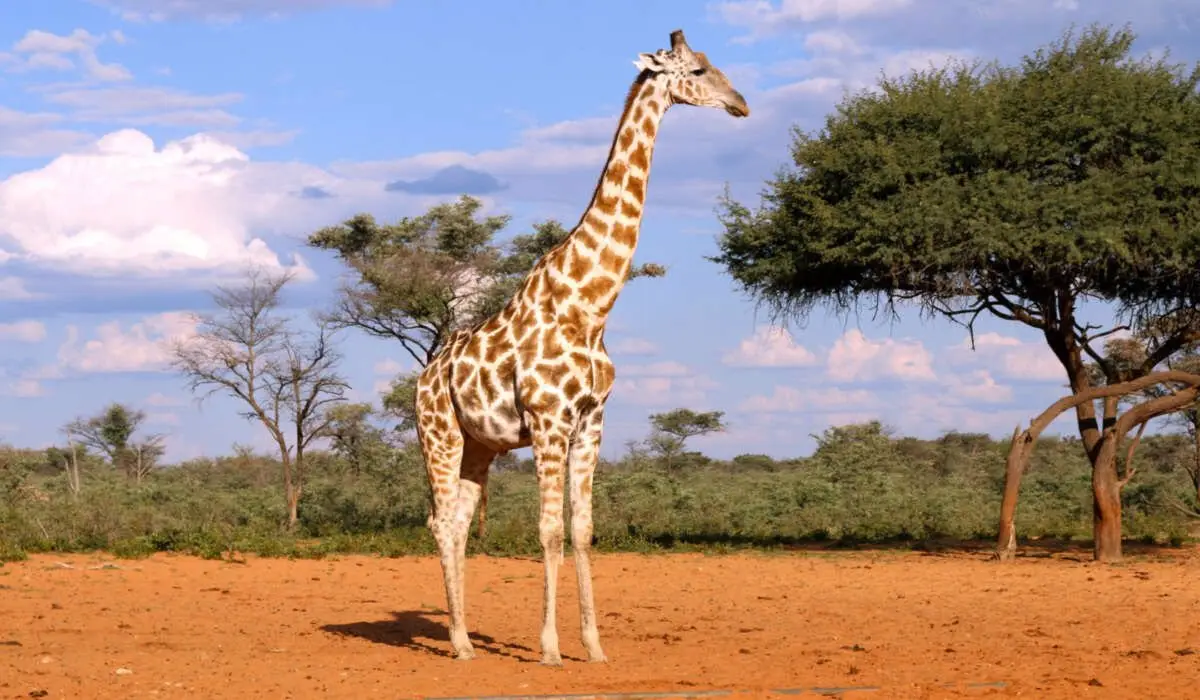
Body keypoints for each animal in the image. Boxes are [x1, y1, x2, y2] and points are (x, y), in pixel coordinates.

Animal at [415, 28, 748, 667]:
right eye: (698, 70)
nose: (741, 104)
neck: (590, 307)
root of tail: (420, 380)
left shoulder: (591, 421)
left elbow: (584, 530)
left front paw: (594, 647)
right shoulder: (549, 420)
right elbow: (548, 532)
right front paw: (548, 648)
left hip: (479, 446)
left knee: (459, 523)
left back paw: (463, 636)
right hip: (438, 435)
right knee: (441, 523)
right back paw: (461, 644)